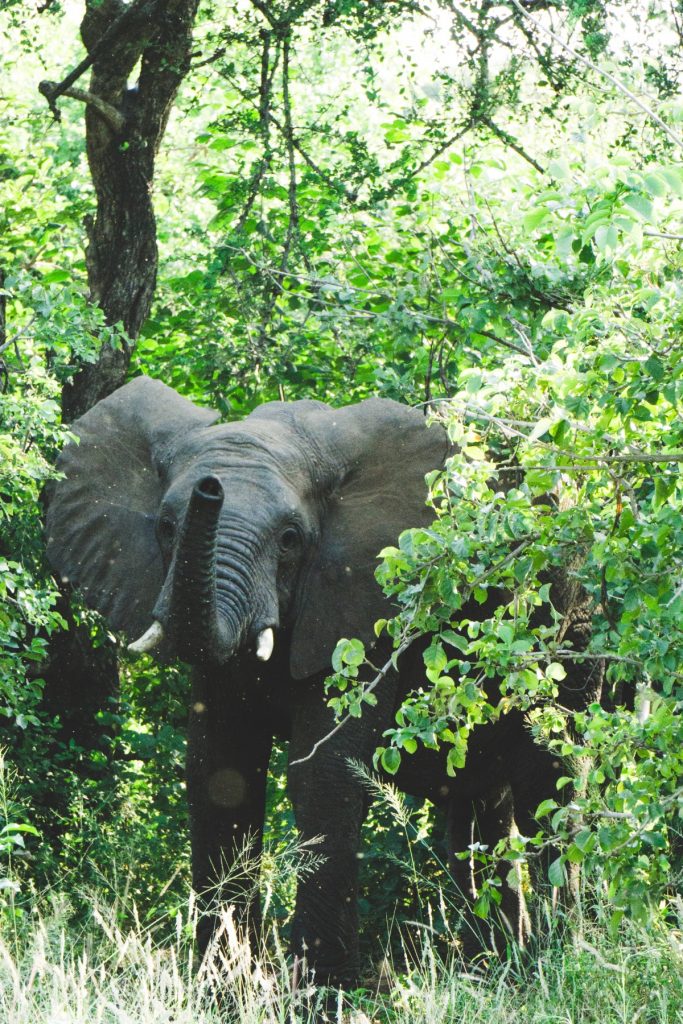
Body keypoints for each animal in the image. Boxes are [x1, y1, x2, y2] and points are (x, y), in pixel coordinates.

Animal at [45, 376, 602, 983]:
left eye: (290, 539)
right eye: (167, 529)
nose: (210, 489)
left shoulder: (371, 606)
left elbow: (324, 774)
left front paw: (322, 991)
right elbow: (218, 774)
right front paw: (222, 990)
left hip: (575, 633)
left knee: (553, 782)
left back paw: (561, 957)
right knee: (481, 812)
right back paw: (498, 968)